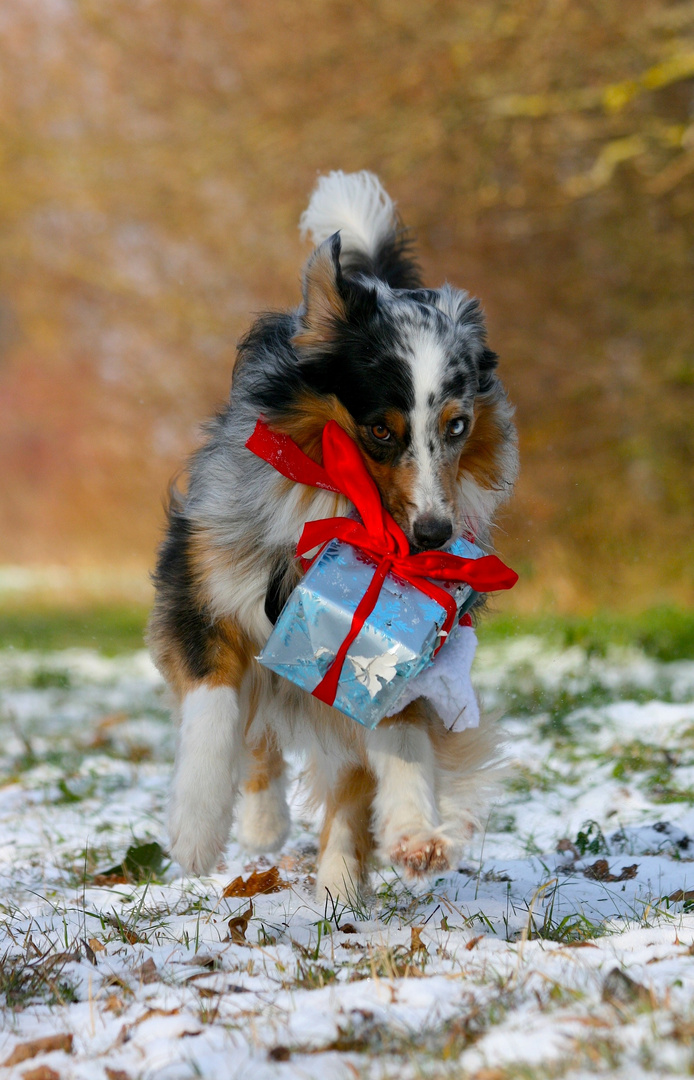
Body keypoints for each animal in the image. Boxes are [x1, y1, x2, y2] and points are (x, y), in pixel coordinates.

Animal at [148, 170, 518, 902]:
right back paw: (261, 822)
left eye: (457, 426)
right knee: (256, 734)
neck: (343, 509)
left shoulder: (403, 662)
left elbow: (400, 741)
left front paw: (414, 834)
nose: (433, 536)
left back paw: (339, 883)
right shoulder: (201, 588)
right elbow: (215, 704)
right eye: (379, 429)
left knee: (342, 778)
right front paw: (196, 829)